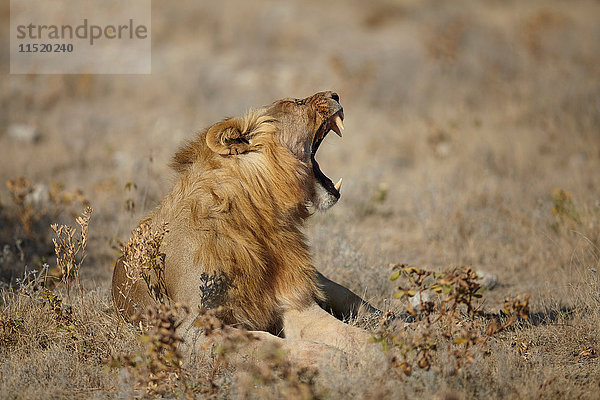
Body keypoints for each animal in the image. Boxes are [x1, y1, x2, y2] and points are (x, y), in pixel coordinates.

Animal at [112, 92, 380, 358]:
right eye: (294, 103)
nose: (335, 94)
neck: (259, 217)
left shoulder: (295, 301)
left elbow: (349, 333)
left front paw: (381, 348)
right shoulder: (191, 328)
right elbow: (264, 341)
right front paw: (328, 355)